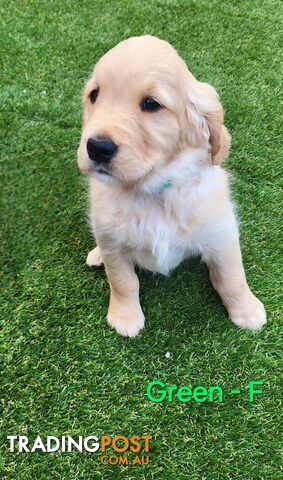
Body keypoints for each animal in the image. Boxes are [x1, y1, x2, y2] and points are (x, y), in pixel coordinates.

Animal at [77, 34, 266, 338]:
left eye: (151, 104)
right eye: (94, 95)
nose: (96, 147)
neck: (154, 189)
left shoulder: (221, 233)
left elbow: (232, 277)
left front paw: (247, 311)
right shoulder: (112, 243)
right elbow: (123, 281)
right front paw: (125, 317)